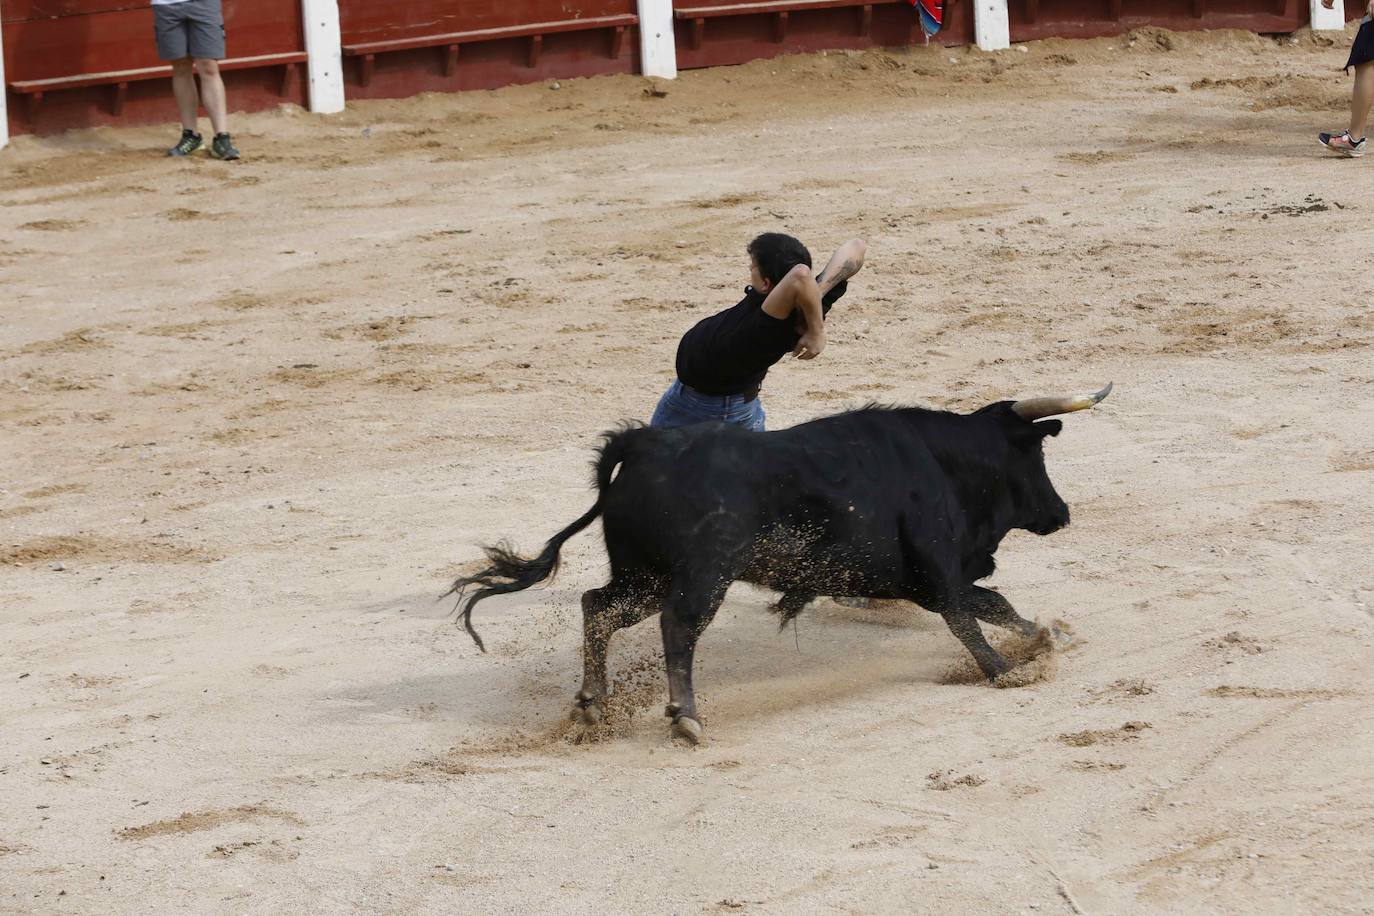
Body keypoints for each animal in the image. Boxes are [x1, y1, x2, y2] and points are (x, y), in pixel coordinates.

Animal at [445, 384, 1110, 741]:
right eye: (1034, 457)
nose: (1061, 513)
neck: (945, 462)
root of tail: (644, 445)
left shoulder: (920, 580)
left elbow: (993, 603)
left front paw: (1045, 637)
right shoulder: (937, 571)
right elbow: (968, 618)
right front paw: (1005, 669)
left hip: (643, 574)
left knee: (599, 608)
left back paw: (592, 702)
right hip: (699, 578)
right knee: (677, 628)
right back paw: (685, 718)